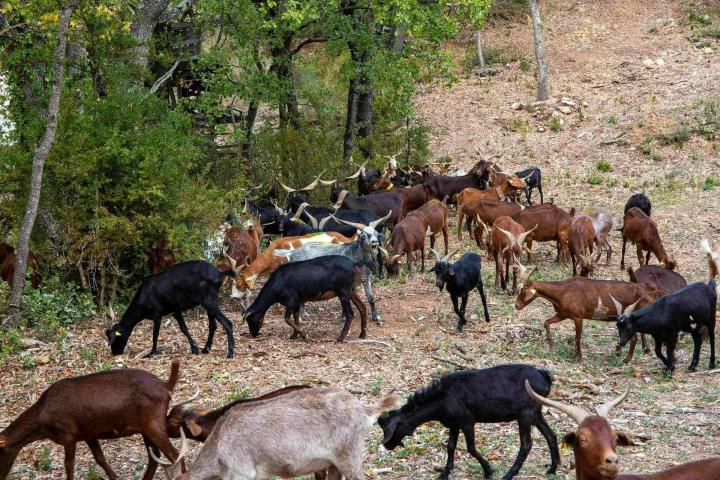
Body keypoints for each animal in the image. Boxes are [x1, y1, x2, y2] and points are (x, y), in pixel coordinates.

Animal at [0, 360, 183, 480]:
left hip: (153, 422)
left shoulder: (68, 434)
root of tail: (166, 386)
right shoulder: (88, 433)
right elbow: (99, 458)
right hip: (145, 427)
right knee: (155, 457)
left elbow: (69, 464)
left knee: (175, 454)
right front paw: (115, 477)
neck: (42, 424)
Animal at [105, 260, 235, 358]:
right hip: (208, 303)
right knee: (213, 325)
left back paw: (230, 353)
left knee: (227, 323)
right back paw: (206, 349)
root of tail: (219, 274)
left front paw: (151, 353)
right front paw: (194, 348)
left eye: (115, 339)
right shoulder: (175, 310)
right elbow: (183, 328)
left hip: (209, 301)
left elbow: (155, 333)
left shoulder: (157, 313)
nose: (114, 353)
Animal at [380, 366, 560, 478]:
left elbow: (471, 448)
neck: (442, 400)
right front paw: (444, 473)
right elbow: (450, 446)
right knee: (551, 435)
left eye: (392, 428)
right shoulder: (453, 424)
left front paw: (488, 471)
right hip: (536, 413)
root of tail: (545, 378)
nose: (386, 445)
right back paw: (552, 468)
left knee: (526, 445)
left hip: (525, 414)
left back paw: (508, 475)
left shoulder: (467, 420)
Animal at [512, 268, 664, 362]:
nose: (516, 306)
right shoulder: (563, 314)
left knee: (634, 336)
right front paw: (551, 346)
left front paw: (579, 357)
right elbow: (546, 322)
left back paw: (627, 358)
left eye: (523, 291)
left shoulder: (578, 317)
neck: (562, 291)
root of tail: (647, 291)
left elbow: (578, 337)